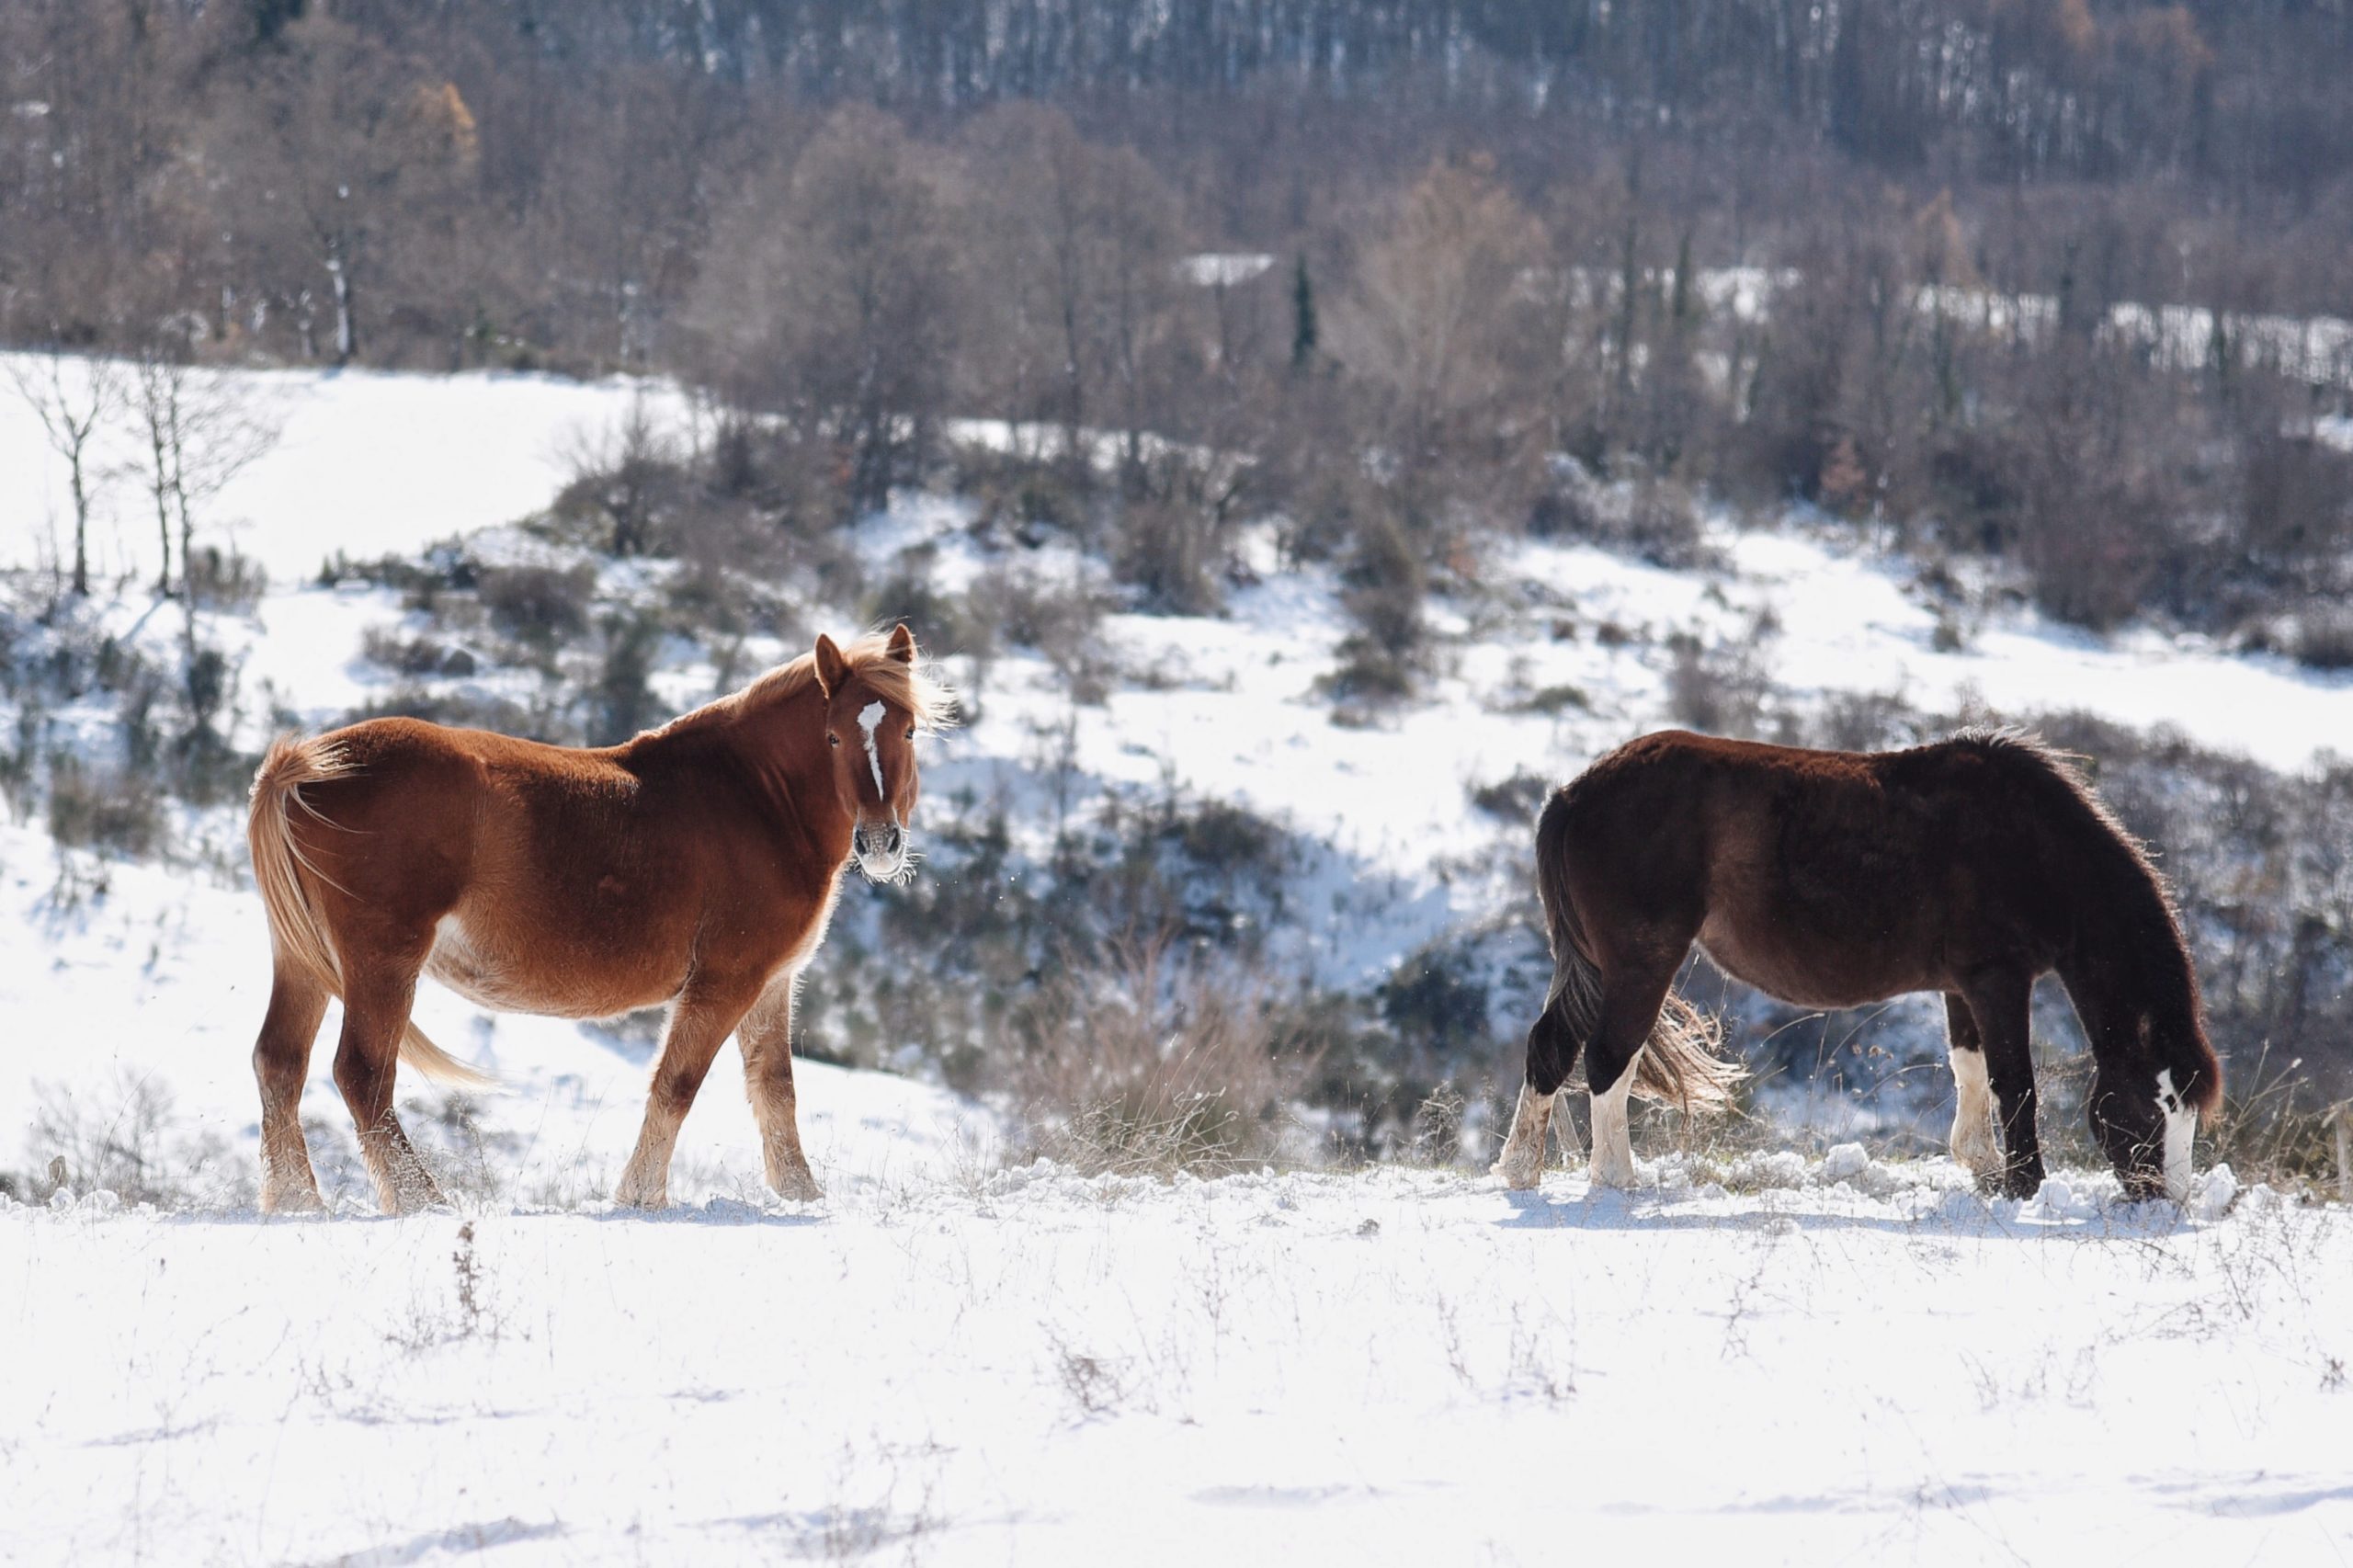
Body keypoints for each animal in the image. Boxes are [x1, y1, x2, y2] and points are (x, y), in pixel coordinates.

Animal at [243, 621, 950, 1205]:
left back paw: (298, 1203)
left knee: (280, 1063)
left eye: (908, 730)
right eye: (832, 735)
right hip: (384, 961)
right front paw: (641, 1197)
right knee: (363, 1075)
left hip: (302, 960)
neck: (754, 798)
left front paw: (801, 1196)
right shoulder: (725, 981)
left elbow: (775, 1090)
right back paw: (423, 1201)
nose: (880, 843)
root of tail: (303, 768)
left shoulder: (772, 984)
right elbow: (677, 1083)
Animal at [1496, 730, 2211, 1196]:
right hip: (1640, 965)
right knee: (1607, 1059)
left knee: (1551, 1048)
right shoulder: (1999, 979)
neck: (2035, 847)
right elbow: (2015, 1081)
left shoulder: (1966, 986)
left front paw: (1983, 1169)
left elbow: (1971, 1070)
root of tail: (1573, 794)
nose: (2166, 1199)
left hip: (1598, 967)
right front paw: (2023, 1185)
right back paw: (1618, 1181)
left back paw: (1521, 1172)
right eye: (2162, 1101)